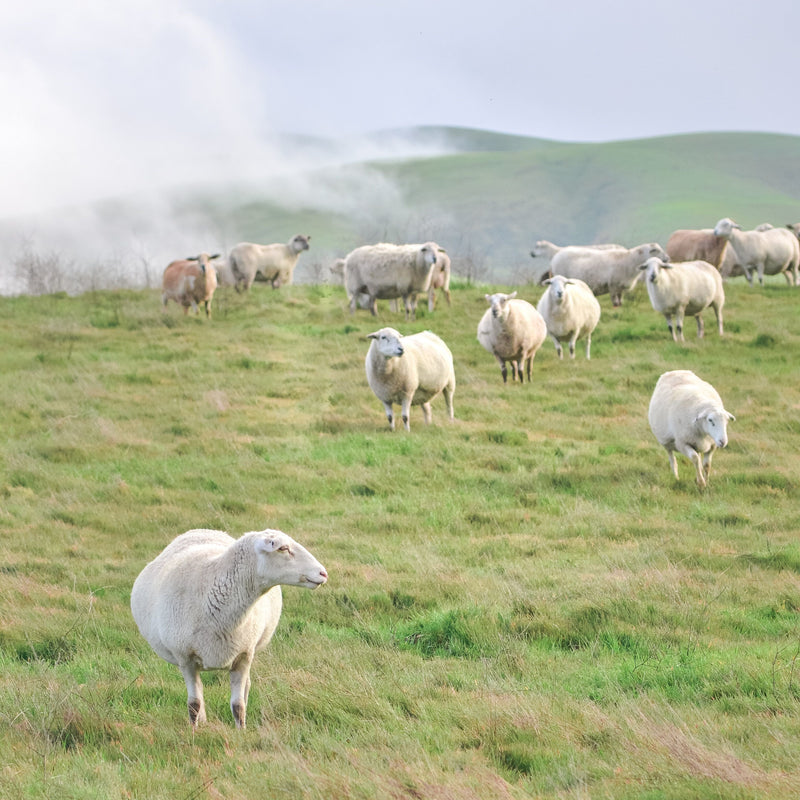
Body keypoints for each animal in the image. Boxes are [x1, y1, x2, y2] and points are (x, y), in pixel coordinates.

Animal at [131, 528, 328, 728]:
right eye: (283, 548)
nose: (323, 573)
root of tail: (202, 530)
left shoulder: (243, 655)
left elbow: (238, 705)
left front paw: (242, 731)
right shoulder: (185, 658)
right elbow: (193, 704)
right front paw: (193, 732)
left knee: (245, 687)